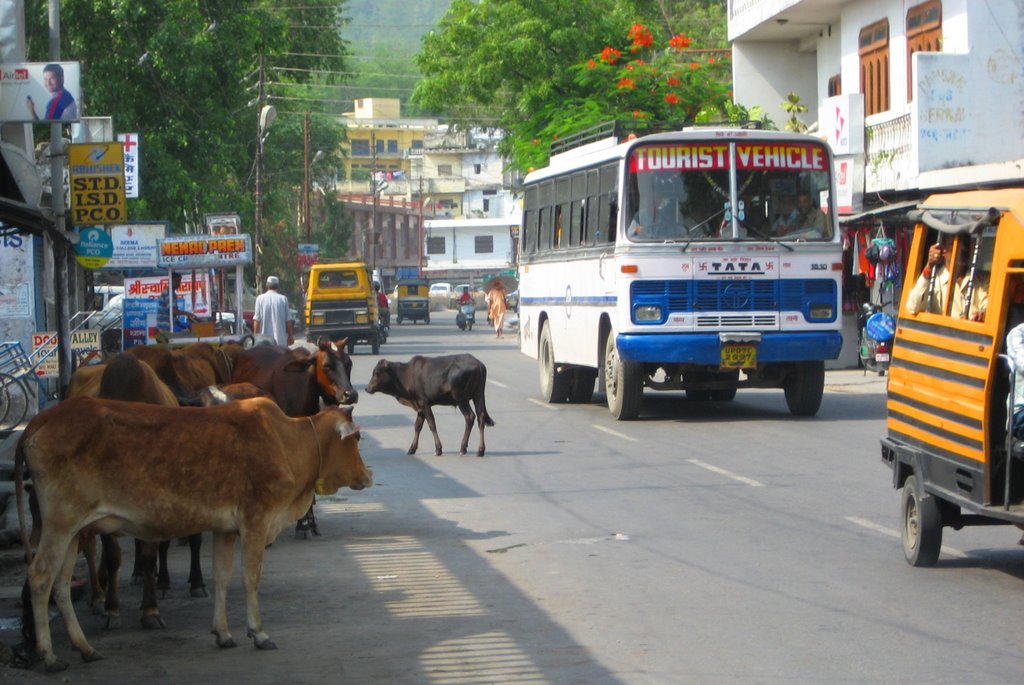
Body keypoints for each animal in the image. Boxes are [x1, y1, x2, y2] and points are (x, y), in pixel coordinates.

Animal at [14, 397, 372, 671]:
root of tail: (41, 419)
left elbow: (222, 578)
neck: (289, 442)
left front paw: (223, 634)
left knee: (60, 585)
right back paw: (49, 656)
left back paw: (84, 648)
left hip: (74, 531)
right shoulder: (255, 522)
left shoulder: (225, 529)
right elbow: (250, 579)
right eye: (356, 439)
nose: (367, 475)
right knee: (40, 576)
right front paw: (258, 633)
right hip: (60, 524)